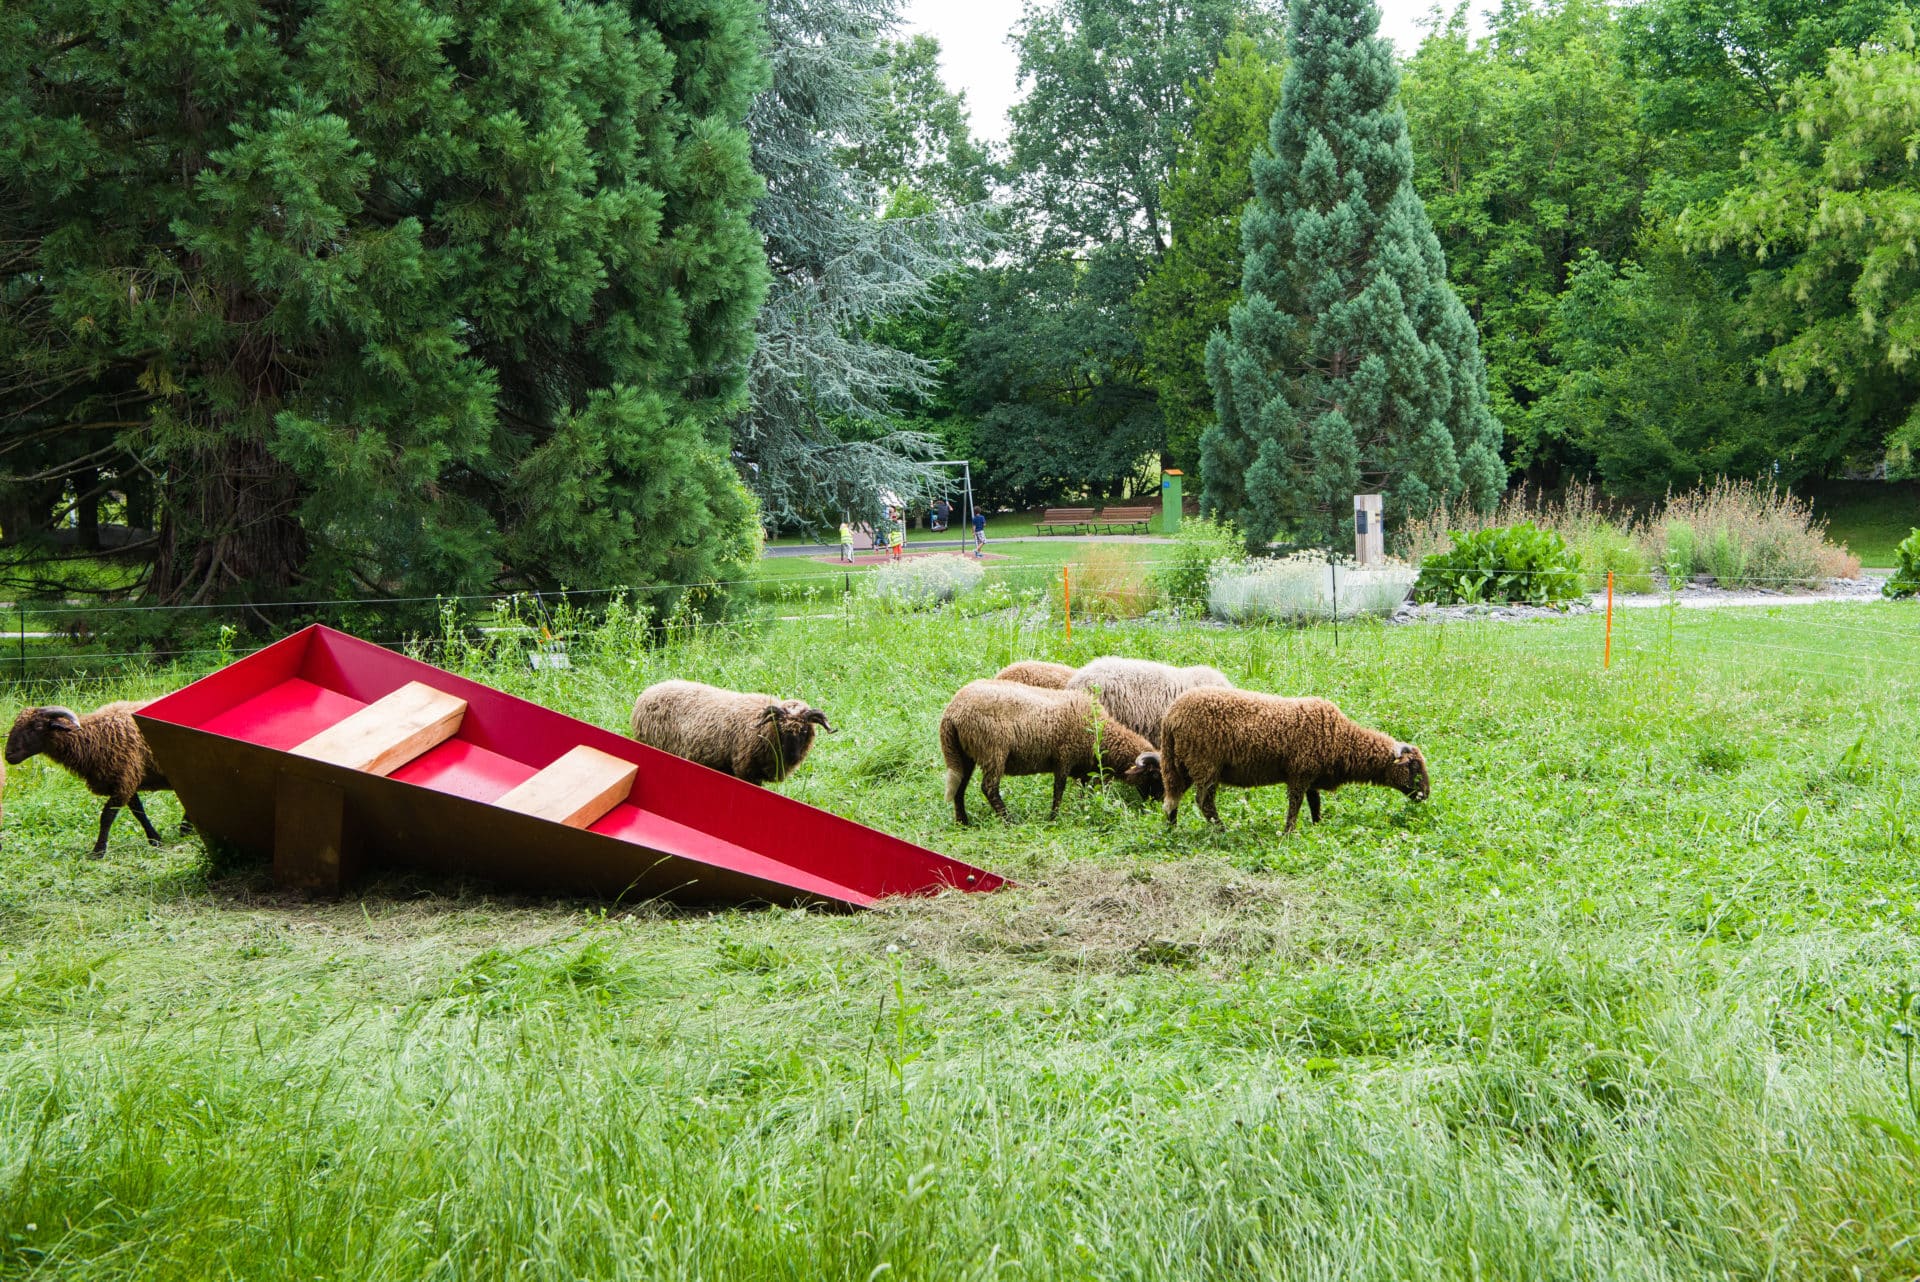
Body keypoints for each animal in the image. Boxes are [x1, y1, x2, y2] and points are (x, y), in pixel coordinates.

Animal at [5, 694, 179, 855]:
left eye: (36, 727)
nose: (8, 755)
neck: (94, 737)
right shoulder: (125, 782)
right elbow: (139, 812)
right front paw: (155, 840)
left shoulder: (124, 782)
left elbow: (107, 816)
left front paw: (98, 851)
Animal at [940, 675, 1159, 825]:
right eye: (1156, 775)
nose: (1158, 807)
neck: (1099, 733)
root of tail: (952, 712)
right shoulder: (1064, 757)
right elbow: (1058, 790)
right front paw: (1053, 818)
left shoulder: (1082, 768)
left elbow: (1084, 791)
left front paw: (1083, 811)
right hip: (993, 751)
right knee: (989, 788)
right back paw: (1009, 820)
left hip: (963, 754)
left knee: (960, 787)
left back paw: (963, 822)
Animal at [1128, 687, 1436, 836]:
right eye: (1413, 767)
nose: (1425, 795)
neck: (1342, 739)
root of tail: (1171, 717)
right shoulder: (1300, 772)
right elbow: (1295, 804)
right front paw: (1289, 832)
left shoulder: (1311, 775)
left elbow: (1314, 803)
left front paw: (1317, 827)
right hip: (1205, 764)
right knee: (1203, 802)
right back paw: (1222, 830)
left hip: (1177, 764)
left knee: (1172, 799)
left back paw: (1172, 828)